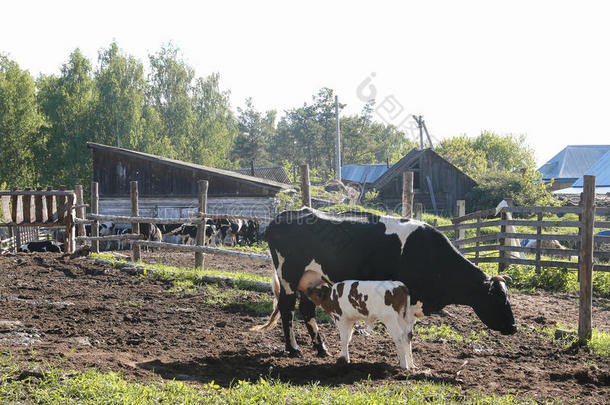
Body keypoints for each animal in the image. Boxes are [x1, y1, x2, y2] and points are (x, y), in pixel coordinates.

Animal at [249, 208, 516, 356]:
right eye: (497, 299)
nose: (514, 327)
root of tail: (283, 217)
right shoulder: (407, 297)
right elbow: (405, 333)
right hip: (288, 277)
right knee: (287, 310)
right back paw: (293, 349)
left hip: (311, 279)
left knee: (306, 309)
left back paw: (321, 348)